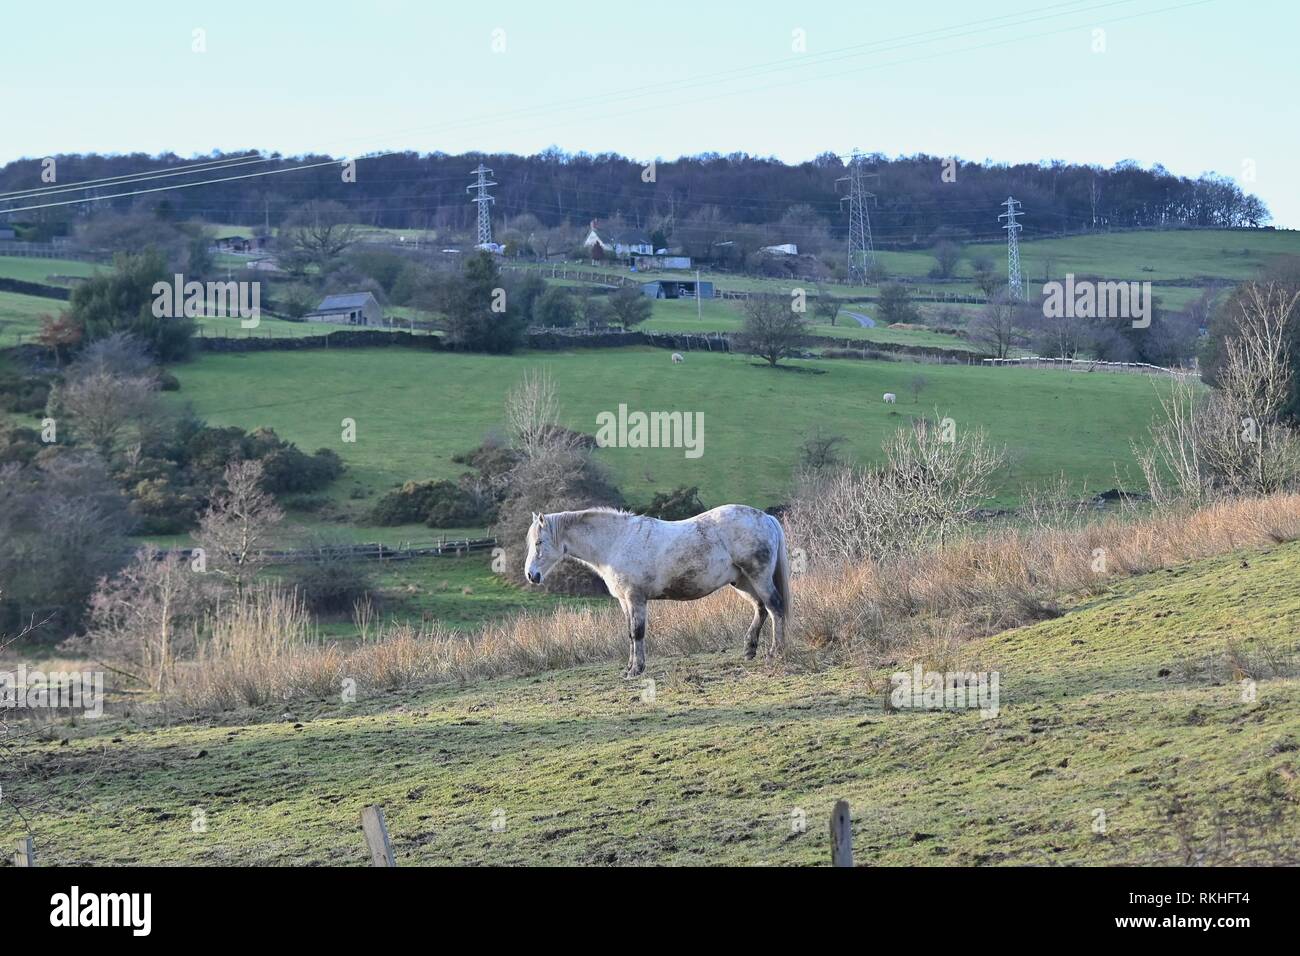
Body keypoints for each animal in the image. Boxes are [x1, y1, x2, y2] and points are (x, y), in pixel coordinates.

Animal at [522, 504, 785, 676]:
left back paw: (776, 652)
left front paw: (636, 670)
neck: (616, 541)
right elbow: (630, 633)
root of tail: (766, 518)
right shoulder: (625, 601)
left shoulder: (636, 598)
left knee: (775, 608)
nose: (531, 575)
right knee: (761, 608)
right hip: (742, 582)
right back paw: (749, 649)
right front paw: (629, 668)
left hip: (758, 577)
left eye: (539, 542)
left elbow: (637, 632)